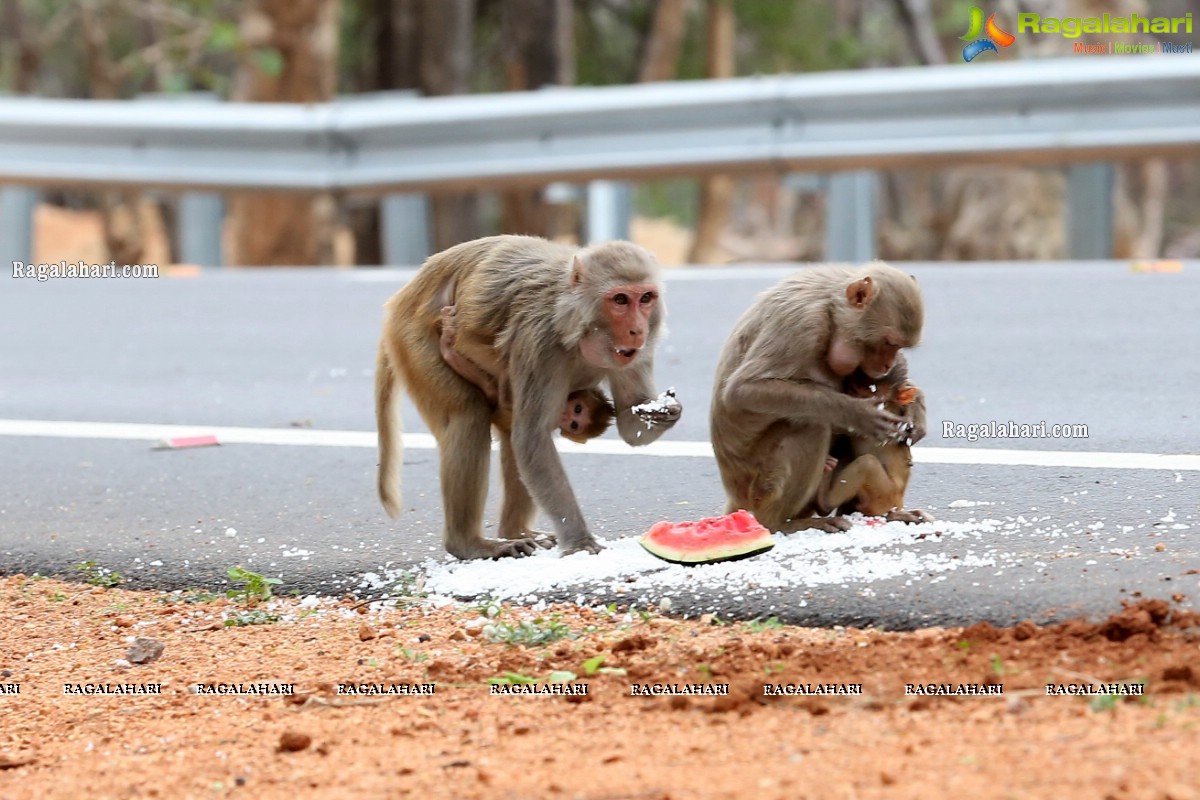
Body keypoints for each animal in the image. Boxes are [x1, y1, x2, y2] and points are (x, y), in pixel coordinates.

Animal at [374, 235, 681, 561]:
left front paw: (663, 412)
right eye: (620, 300)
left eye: (646, 298)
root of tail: (403, 296)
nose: (637, 330)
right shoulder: (539, 341)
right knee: (471, 416)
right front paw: (579, 541)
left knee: (509, 432)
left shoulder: (637, 350)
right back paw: (469, 544)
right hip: (414, 341)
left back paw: (516, 532)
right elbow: (532, 437)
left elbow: (628, 425)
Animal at [816, 371, 936, 525]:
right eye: (853, 389)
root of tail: (899, 503)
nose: (852, 391)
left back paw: (825, 503)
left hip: (885, 495)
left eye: (865, 391)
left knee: (868, 463)